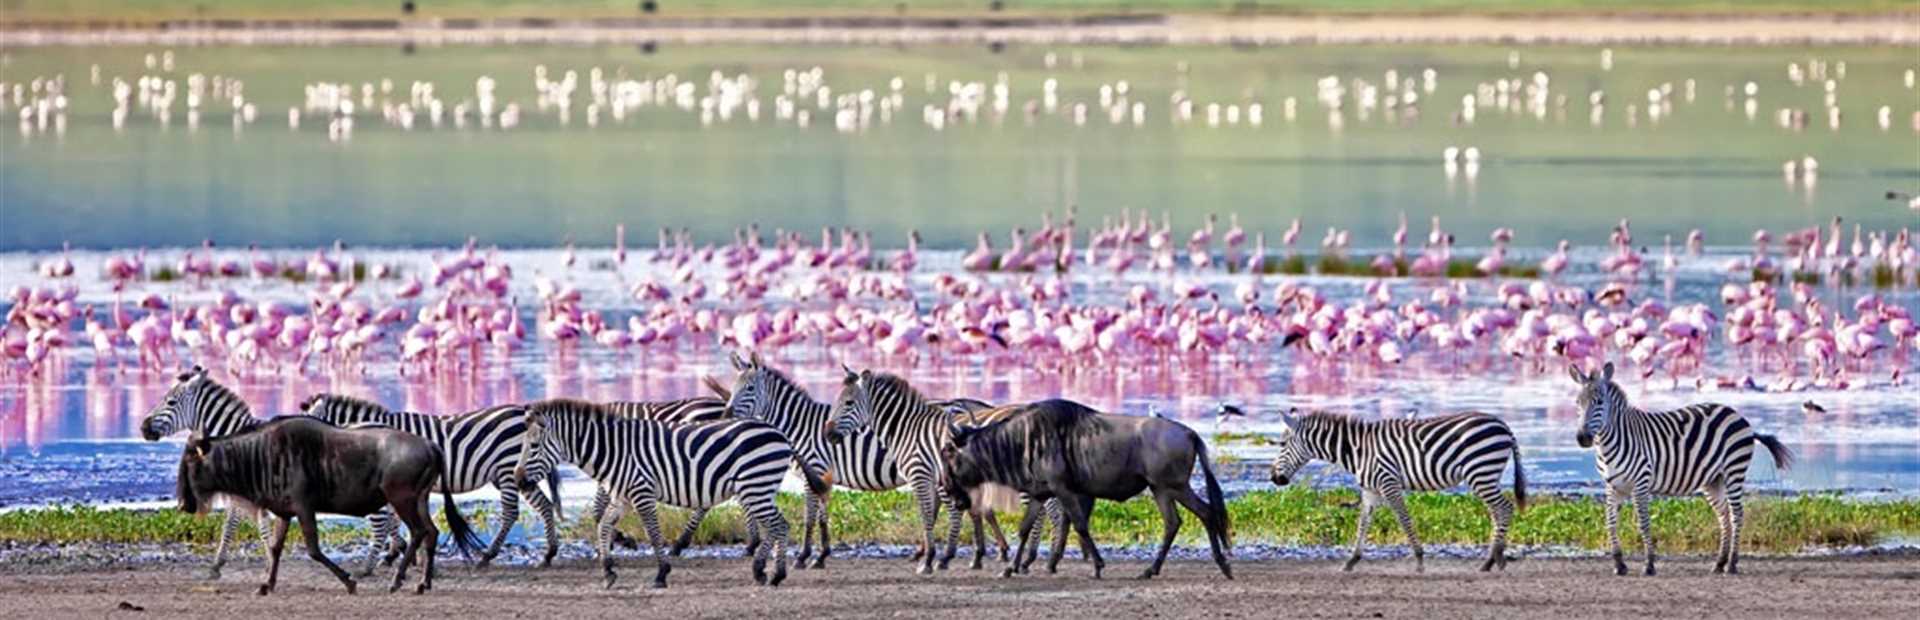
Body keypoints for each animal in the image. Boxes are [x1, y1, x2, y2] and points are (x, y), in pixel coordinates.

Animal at [293, 395, 560, 572]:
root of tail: (524, 411)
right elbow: (394, 520)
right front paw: (399, 552)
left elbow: (389, 520)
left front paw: (397, 553)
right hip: (515, 473)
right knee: (544, 506)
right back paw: (549, 554)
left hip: (507, 470)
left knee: (510, 513)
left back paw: (487, 556)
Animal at [510, 401, 794, 591]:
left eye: (532, 446)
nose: (518, 480)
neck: (614, 450)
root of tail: (779, 433)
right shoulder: (622, 498)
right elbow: (603, 526)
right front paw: (608, 571)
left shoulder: (642, 493)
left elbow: (653, 533)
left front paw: (661, 574)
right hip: (757, 488)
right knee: (777, 525)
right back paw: (765, 571)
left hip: (756, 485)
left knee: (779, 525)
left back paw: (773, 574)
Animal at [1259, 408, 1528, 572]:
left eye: (1281, 444)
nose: (1274, 478)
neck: (1357, 450)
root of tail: (1503, 425)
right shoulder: (1370, 491)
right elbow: (1363, 523)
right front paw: (1351, 561)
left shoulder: (1389, 483)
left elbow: (1404, 519)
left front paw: (1419, 560)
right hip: (1485, 475)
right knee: (1497, 511)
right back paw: (1494, 560)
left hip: (1480, 472)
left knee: (1504, 508)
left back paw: (1492, 560)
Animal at [1566, 364, 1789, 579]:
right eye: (1578, 402)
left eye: (1599, 402)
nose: (1582, 438)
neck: (1609, 444)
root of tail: (1735, 413)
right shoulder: (1613, 486)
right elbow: (1610, 523)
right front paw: (1619, 565)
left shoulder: (1641, 483)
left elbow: (1643, 524)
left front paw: (1649, 565)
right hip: (1713, 480)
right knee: (1724, 516)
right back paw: (1719, 563)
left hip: (1734, 470)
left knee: (1737, 515)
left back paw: (1732, 564)